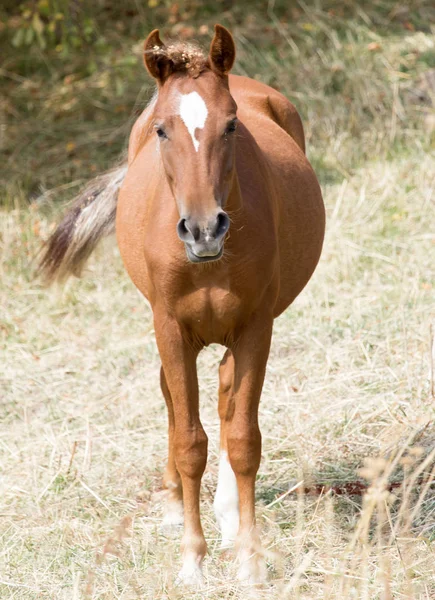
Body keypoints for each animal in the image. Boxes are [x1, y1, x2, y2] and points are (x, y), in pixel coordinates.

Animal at [40, 24, 328, 584]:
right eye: (162, 130)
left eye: (232, 124)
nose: (203, 229)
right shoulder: (170, 328)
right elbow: (189, 441)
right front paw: (192, 560)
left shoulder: (255, 327)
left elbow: (243, 436)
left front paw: (248, 559)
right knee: (175, 404)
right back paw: (176, 506)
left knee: (224, 397)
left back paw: (228, 516)